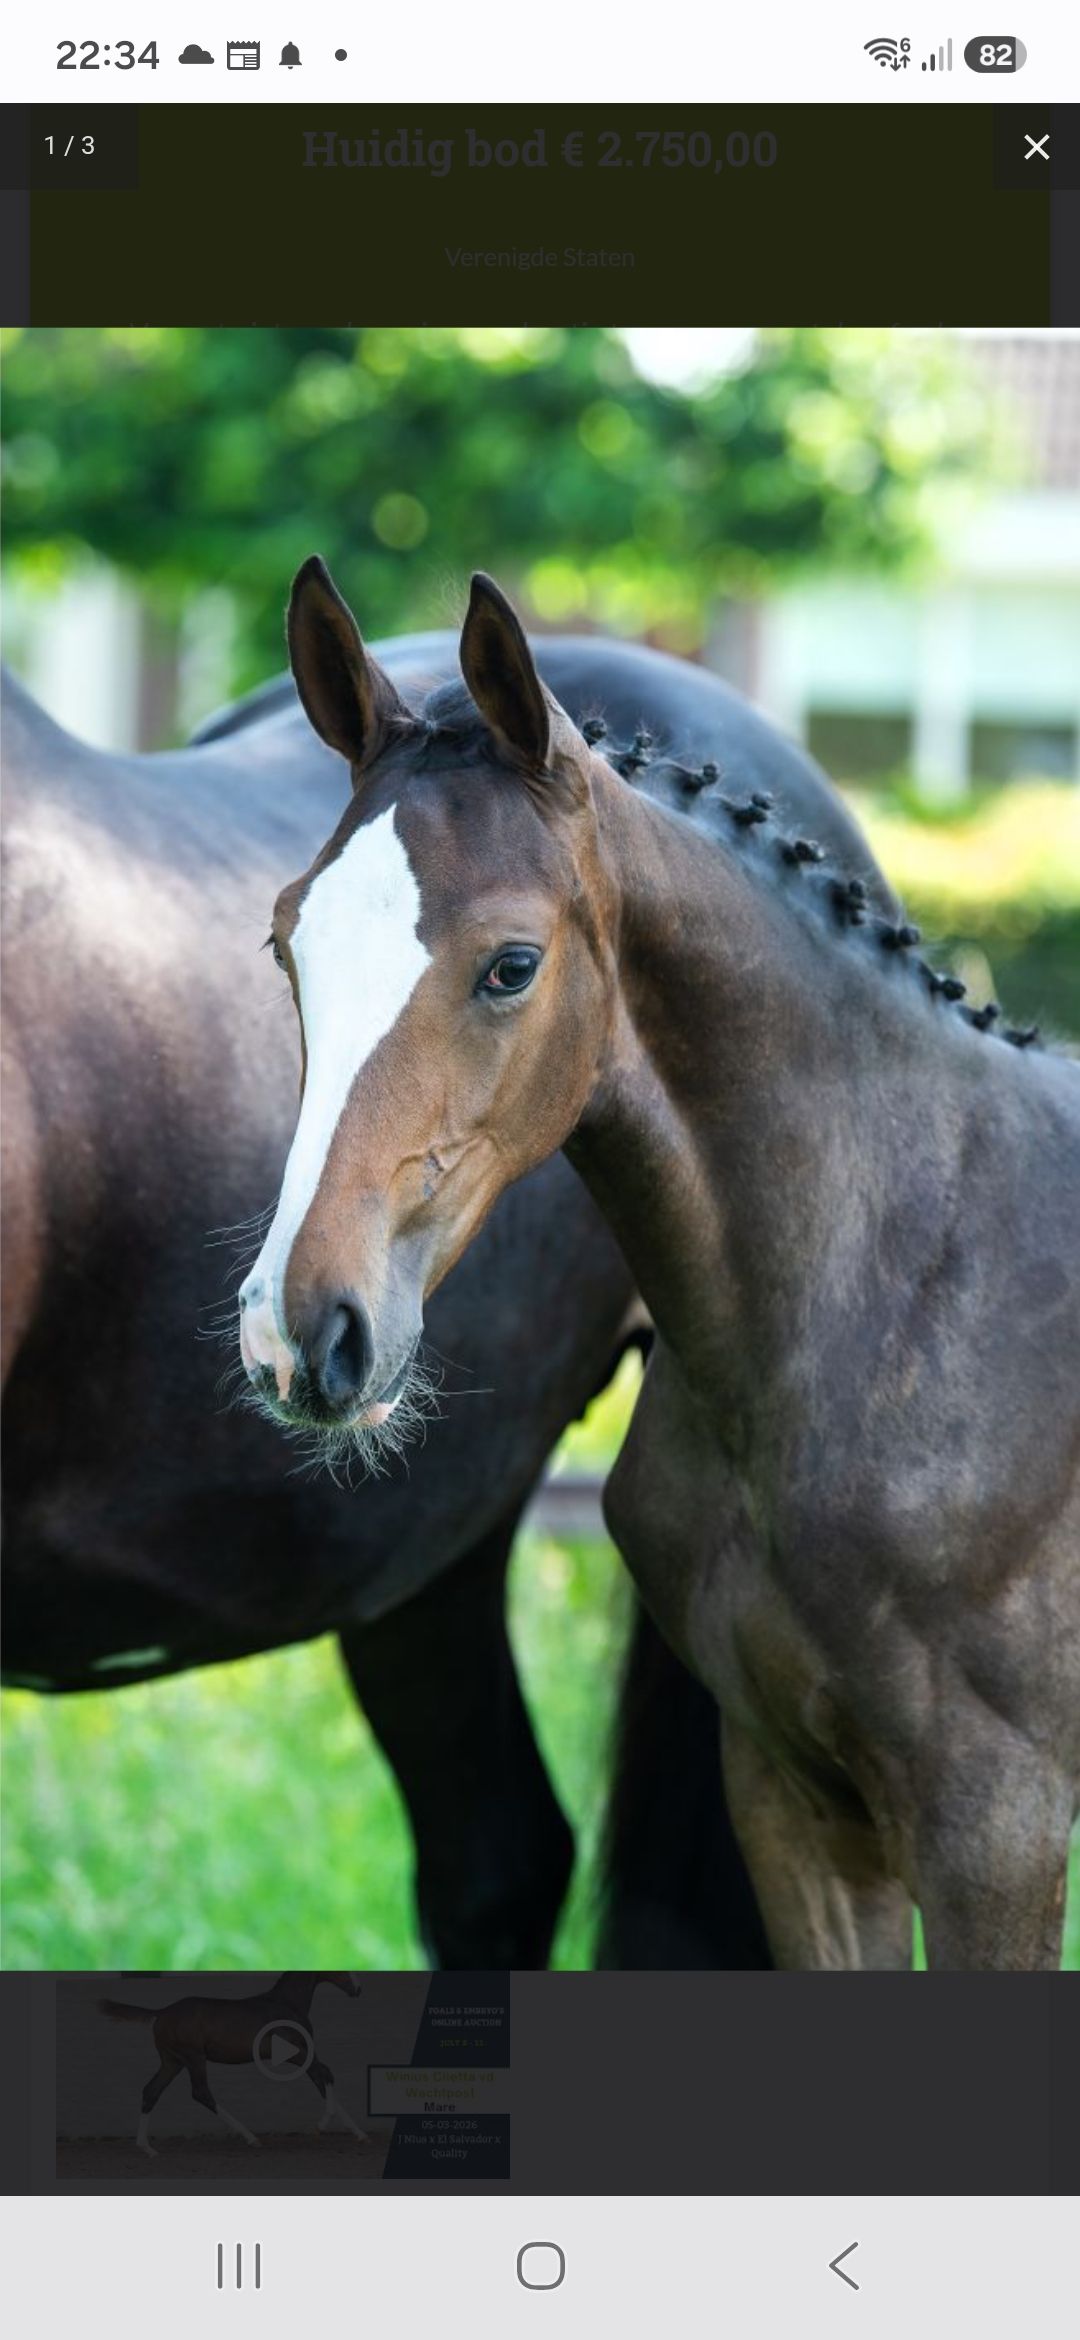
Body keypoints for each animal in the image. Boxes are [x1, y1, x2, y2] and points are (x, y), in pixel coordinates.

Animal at [98, 1971, 365, 2154]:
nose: (358, 1989)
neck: (286, 2004)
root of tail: (161, 2012)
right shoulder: (298, 2054)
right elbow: (327, 2074)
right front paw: (320, 2126)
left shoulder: (304, 2054)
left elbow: (323, 2081)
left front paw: (360, 2134)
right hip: (194, 2057)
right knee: (201, 2093)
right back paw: (251, 2138)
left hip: (173, 2062)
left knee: (151, 2091)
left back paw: (147, 2148)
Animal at [245, 556, 1080, 1972]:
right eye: (285, 942)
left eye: (511, 966)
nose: (303, 1332)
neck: (906, 1290)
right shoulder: (795, 1800)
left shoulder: (996, 1828)